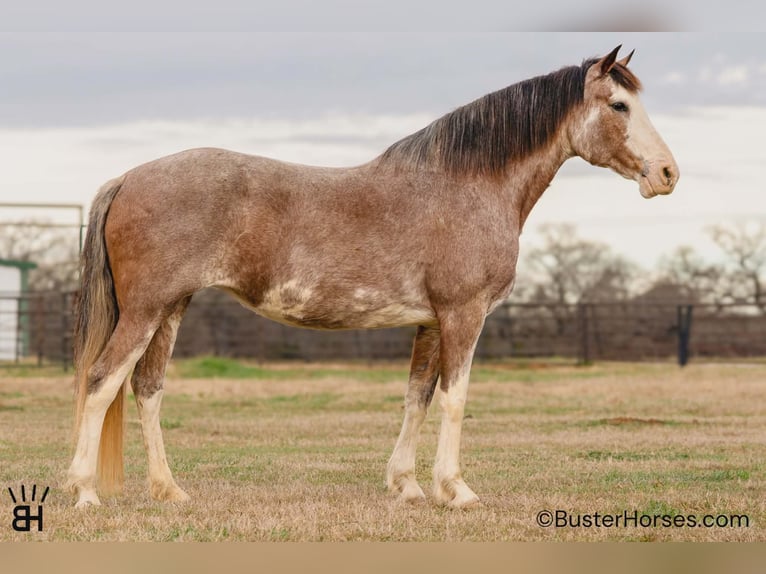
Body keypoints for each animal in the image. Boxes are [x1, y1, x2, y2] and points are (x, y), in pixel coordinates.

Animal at [65, 46, 678, 509]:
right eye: (619, 105)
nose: (668, 173)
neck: (468, 185)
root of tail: (127, 178)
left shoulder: (430, 321)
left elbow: (417, 397)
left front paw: (406, 486)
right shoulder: (463, 314)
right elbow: (455, 398)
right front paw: (456, 490)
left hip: (171, 309)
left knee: (147, 388)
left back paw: (169, 491)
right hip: (146, 311)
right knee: (100, 382)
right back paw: (85, 492)